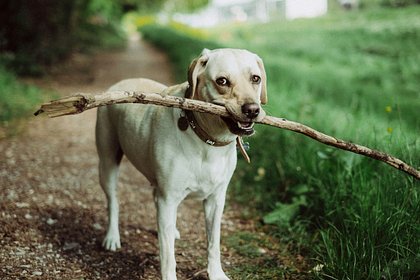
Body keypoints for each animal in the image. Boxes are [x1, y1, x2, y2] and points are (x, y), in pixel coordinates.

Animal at [95, 48, 268, 280]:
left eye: (255, 78)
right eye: (222, 81)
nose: (252, 110)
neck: (207, 141)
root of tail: (119, 83)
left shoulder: (216, 200)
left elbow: (213, 243)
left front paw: (216, 273)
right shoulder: (168, 198)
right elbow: (168, 257)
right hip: (107, 163)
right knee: (113, 201)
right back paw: (112, 237)